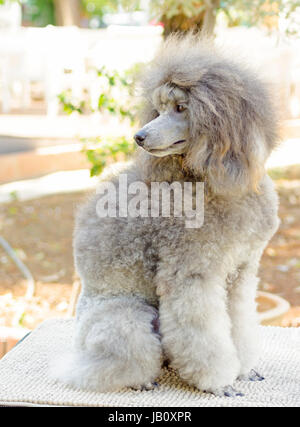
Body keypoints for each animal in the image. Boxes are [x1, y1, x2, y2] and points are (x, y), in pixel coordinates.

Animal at [51, 36, 278, 398]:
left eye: (181, 109)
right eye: (157, 110)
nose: (139, 137)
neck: (213, 183)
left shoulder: (241, 272)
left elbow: (239, 323)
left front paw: (242, 370)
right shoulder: (191, 275)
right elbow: (203, 333)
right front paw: (219, 382)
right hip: (126, 320)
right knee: (107, 364)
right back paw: (139, 379)